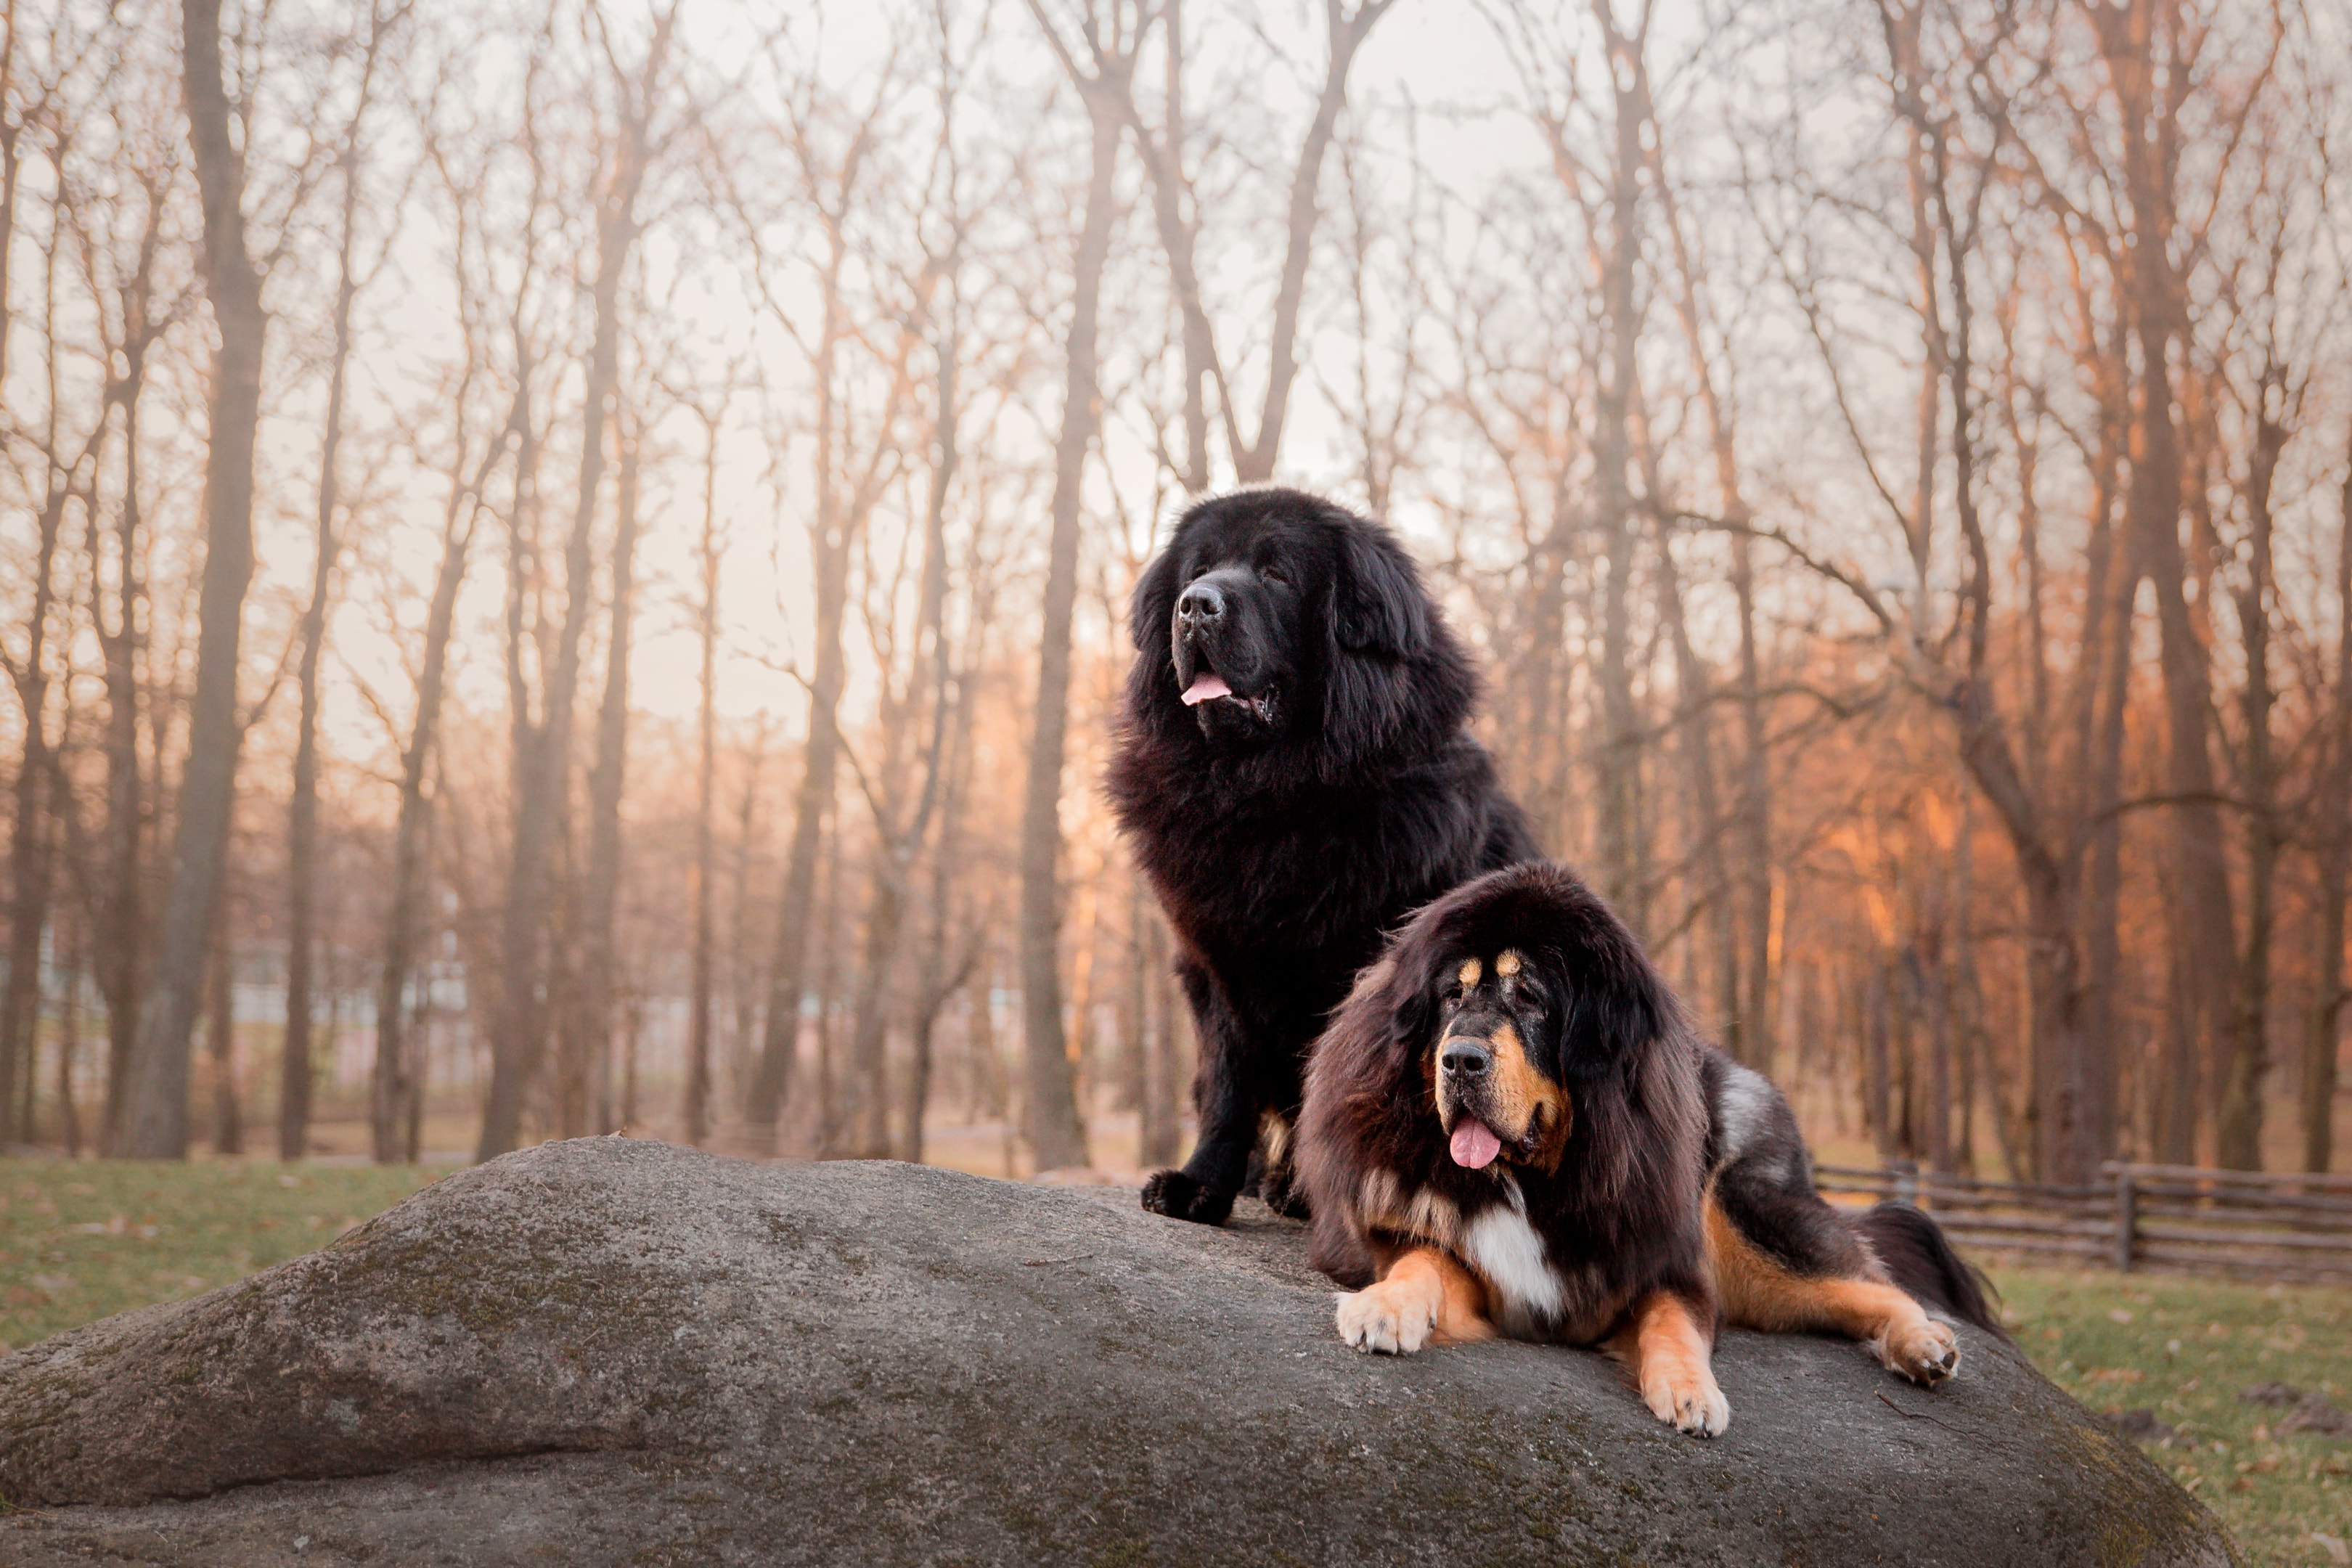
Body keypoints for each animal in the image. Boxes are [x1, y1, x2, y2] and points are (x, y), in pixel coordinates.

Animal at [1105, 491, 1533, 1222]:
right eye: (1200, 569)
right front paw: (1200, 1184)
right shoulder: (1217, 958)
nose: (1195, 605)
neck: (1273, 795)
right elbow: (1227, 1081)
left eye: (1277, 574)